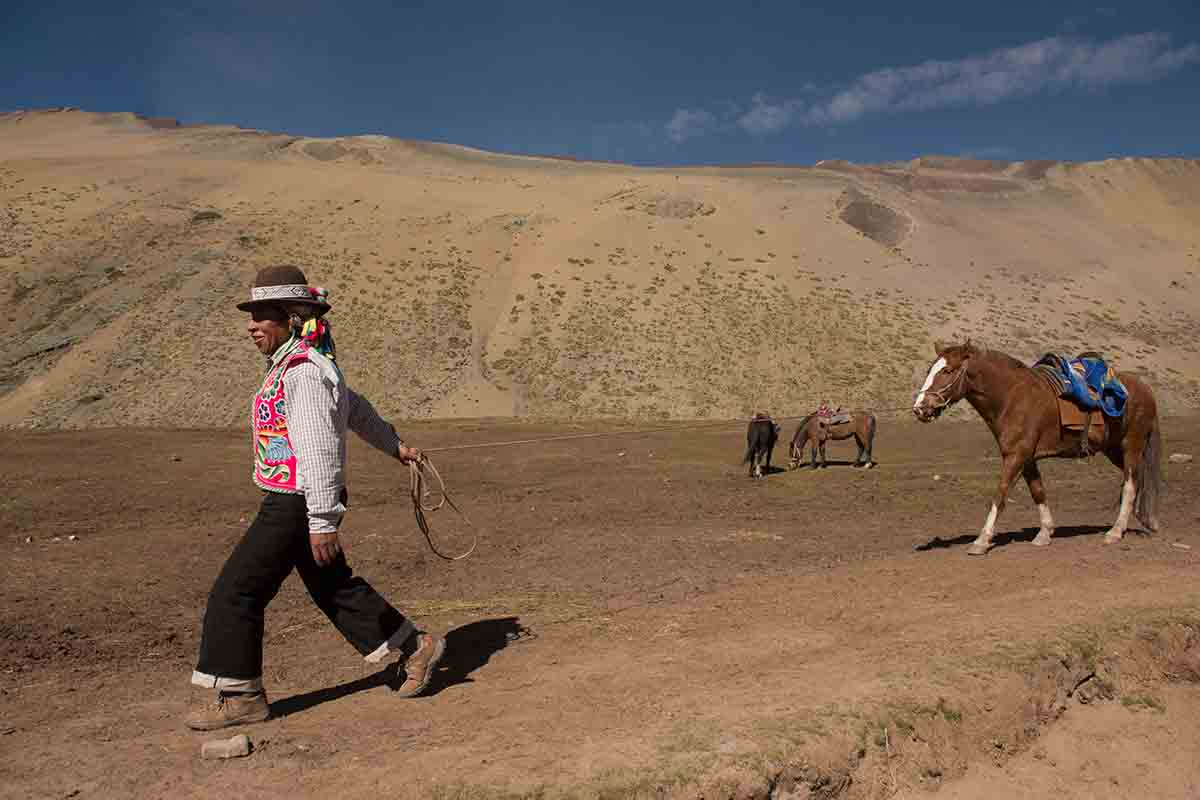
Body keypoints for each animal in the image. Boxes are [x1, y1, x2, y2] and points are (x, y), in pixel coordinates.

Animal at [912, 340, 1156, 556]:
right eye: (930, 370)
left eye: (948, 370)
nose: (920, 408)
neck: (1011, 397)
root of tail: (1146, 389)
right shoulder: (1027, 458)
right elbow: (1038, 491)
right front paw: (1044, 534)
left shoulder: (1015, 455)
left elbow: (1000, 494)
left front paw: (981, 540)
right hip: (1114, 451)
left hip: (1131, 446)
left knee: (1130, 485)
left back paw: (1115, 532)